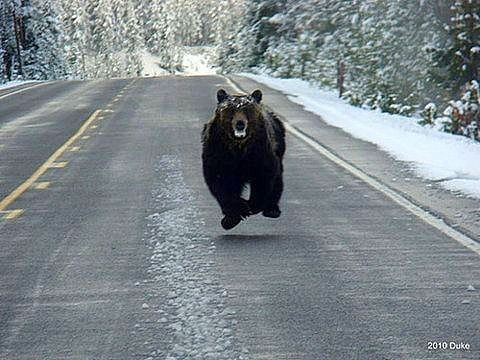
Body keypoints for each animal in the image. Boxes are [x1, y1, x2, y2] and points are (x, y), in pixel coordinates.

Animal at [202, 88, 284, 229]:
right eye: (230, 110)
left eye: (247, 110)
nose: (240, 124)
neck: (239, 146)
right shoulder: (219, 154)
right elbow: (221, 182)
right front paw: (234, 215)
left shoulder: (259, 153)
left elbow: (263, 178)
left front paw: (252, 205)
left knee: (277, 180)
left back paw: (272, 209)